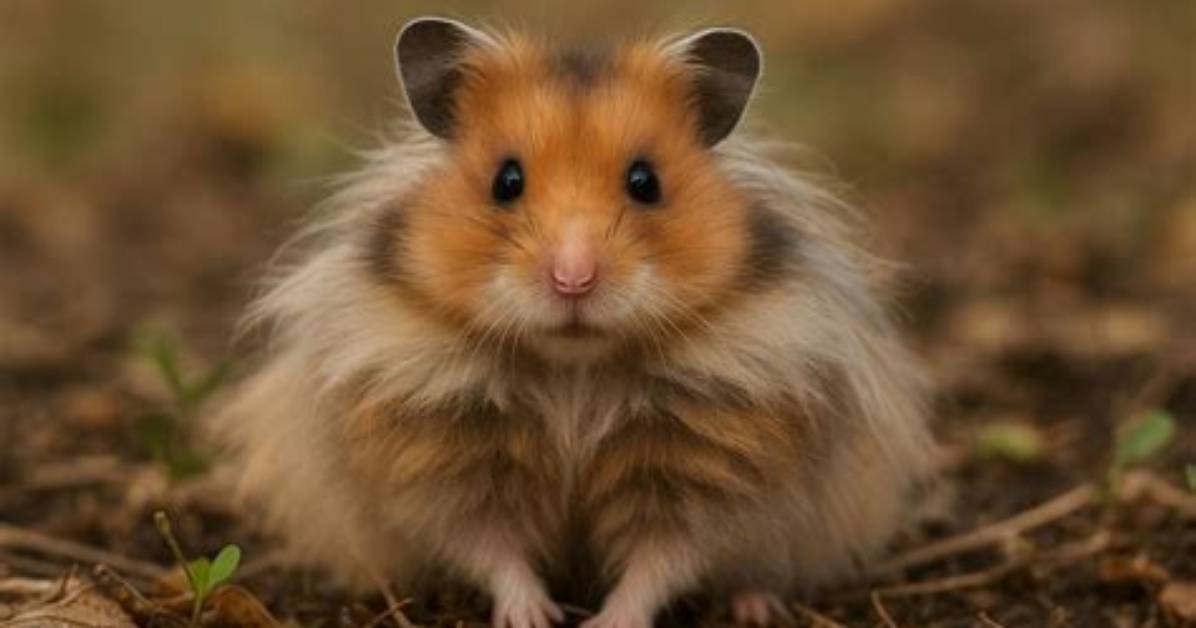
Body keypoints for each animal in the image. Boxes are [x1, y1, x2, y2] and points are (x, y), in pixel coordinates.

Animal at [209, 17, 939, 628]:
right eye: (506, 181)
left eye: (645, 182)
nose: (573, 281)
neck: (575, 374)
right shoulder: (445, 469)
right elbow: (492, 548)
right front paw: (533, 617)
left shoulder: (712, 472)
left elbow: (662, 560)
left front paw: (606, 623)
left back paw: (756, 608)